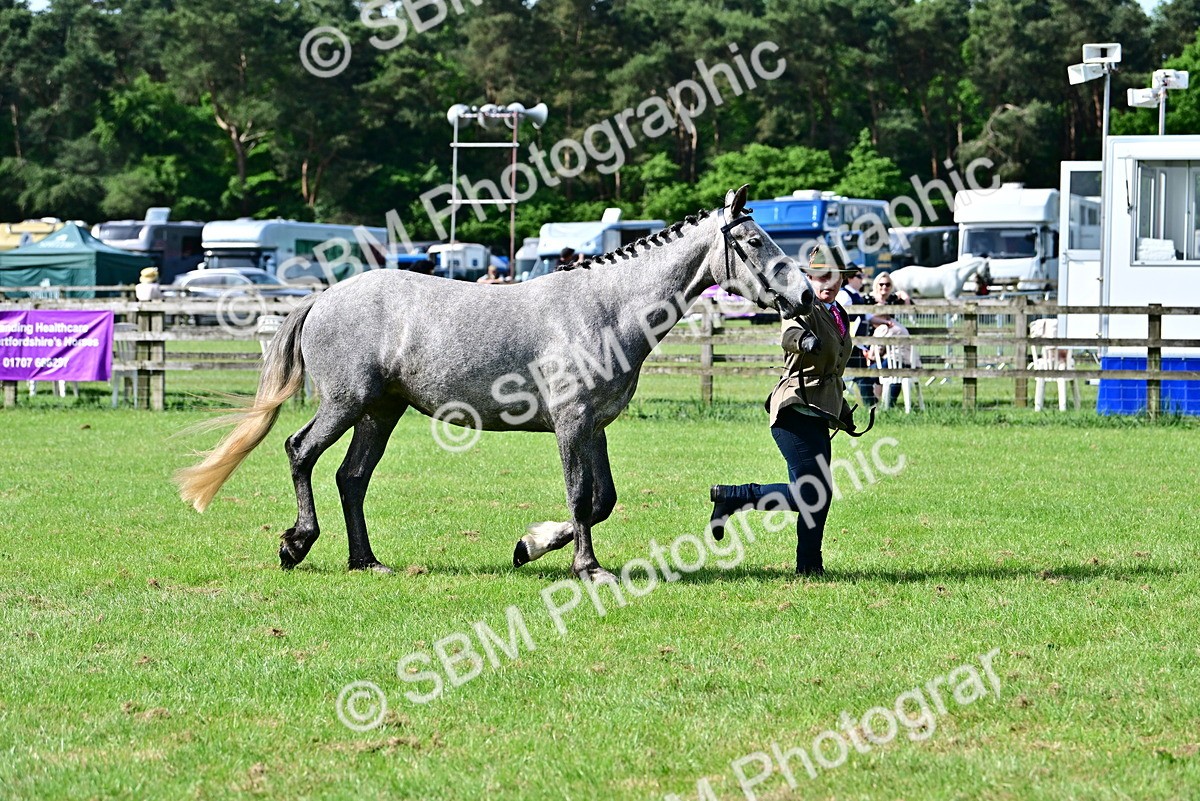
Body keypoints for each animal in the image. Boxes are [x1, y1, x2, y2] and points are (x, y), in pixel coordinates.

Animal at [175, 186, 816, 583]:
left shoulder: (595, 427)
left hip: (381, 413)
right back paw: (297, 543)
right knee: (300, 452)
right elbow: (581, 497)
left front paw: (531, 546)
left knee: (351, 479)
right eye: (754, 242)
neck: (605, 309)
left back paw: (367, 562)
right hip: (345, 403)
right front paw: (586, 568)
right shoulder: (571, 424)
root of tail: (326, 295)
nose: (808, 296)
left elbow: (601, 501)